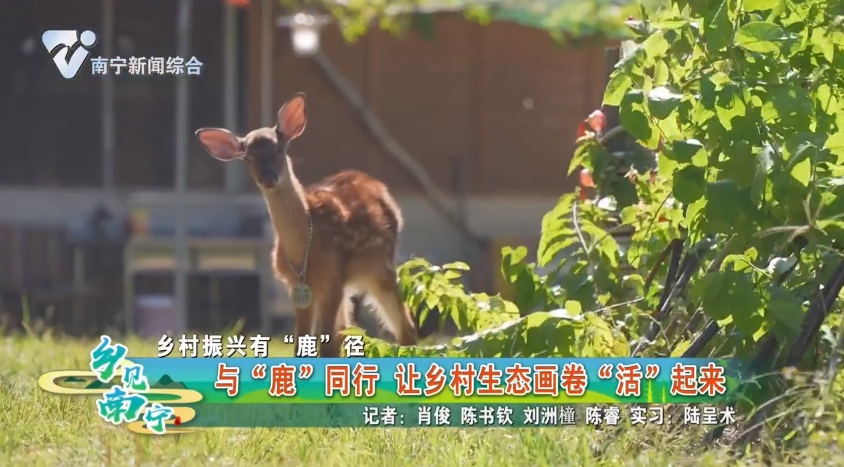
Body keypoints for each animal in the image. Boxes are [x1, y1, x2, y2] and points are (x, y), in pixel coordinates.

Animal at [194, 92, 418, 357]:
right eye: (247, 158)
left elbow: (327, 345)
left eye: (279, 148)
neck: (303, 253)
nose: (268, 176)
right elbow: (303, 342)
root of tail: (379, 187)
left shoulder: (332, 275)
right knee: (347, 330)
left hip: (380, 266)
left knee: (405, 326)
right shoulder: (299, 286)